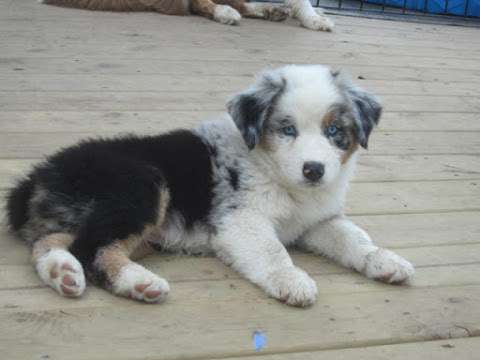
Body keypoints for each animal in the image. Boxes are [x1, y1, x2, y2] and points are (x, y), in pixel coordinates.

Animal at [5, 65, 412, 306]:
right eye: (287, 129)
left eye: (334, 131)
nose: (314, 170)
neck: (285, 183)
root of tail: (38, 176)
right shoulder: (240, 219)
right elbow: (271, 251)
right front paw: (292, 280)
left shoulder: (318, 220)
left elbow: (353, 237)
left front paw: (384, 260)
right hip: (142, 185)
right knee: (93, 247)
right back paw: (137, 282)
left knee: (51, 241)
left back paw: (63, 272)